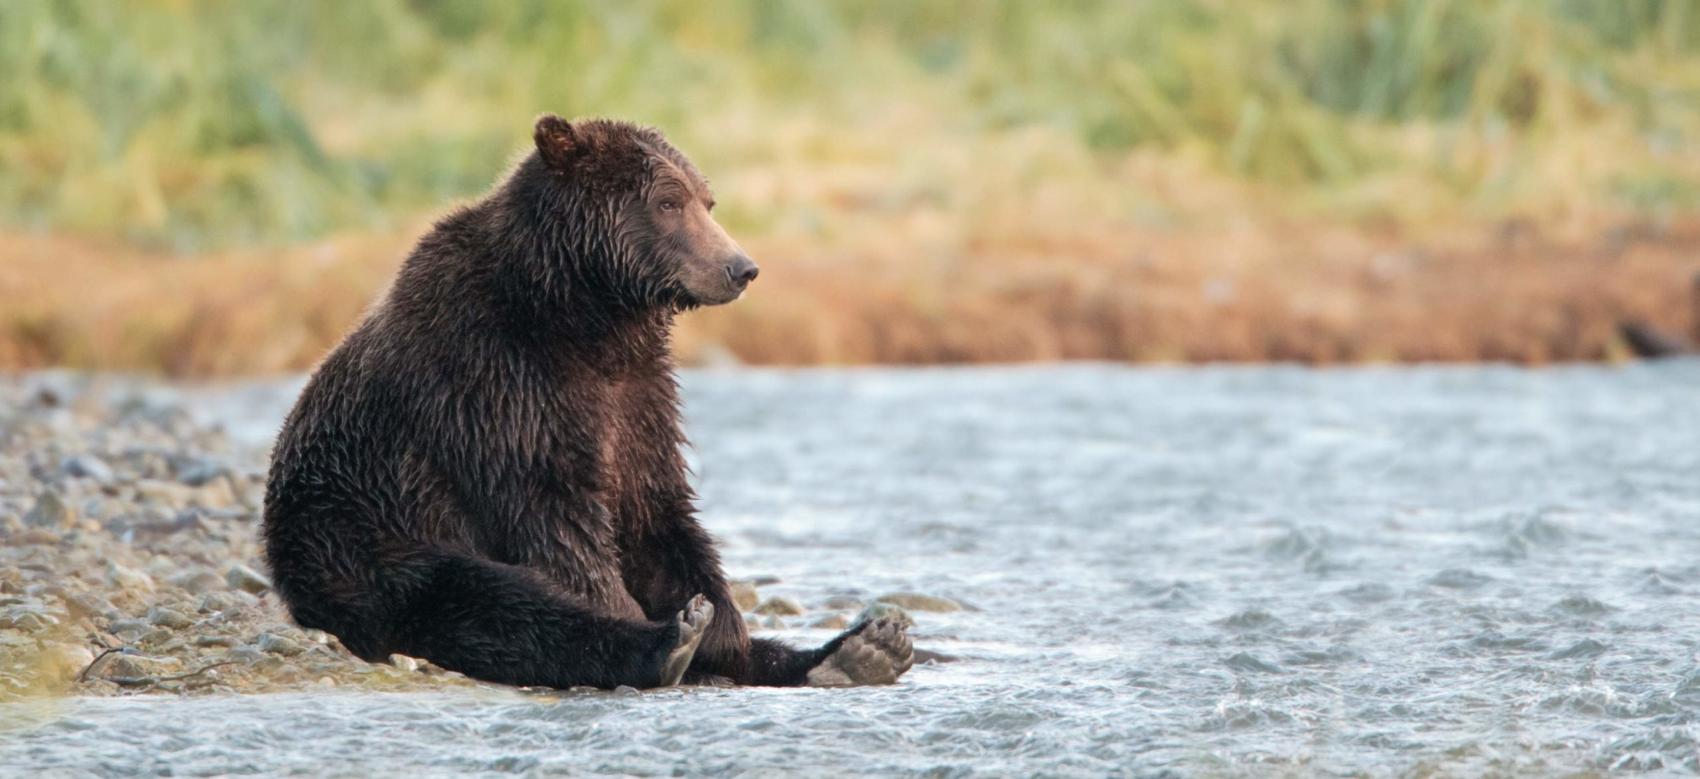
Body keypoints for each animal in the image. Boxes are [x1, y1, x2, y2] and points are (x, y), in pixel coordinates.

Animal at [261, 116, 914, 689]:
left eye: (708, 201)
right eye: (668, 201)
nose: (741, 267)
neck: (586, 314)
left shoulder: (638, 396)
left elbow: (656, 510)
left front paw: (723, 625)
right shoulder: (495, 385)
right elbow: (556, 519)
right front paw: (660, 620)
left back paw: (862, 650)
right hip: (362, 542)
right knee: (487, 602)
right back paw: (668, 646)